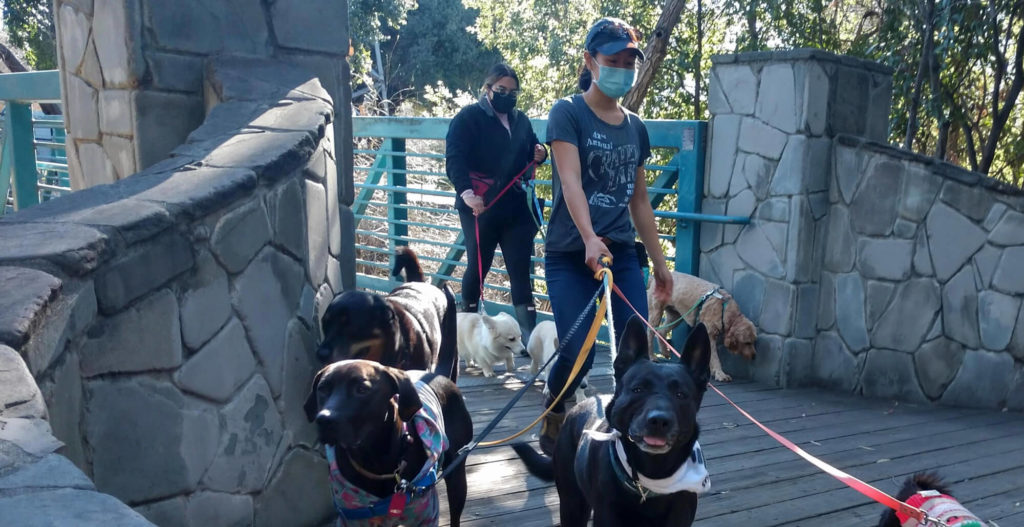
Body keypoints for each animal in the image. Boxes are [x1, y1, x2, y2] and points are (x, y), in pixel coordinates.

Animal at [303, 360, 471, 523]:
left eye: (362, 389)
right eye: (322, 389)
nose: (324, 420)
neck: (373, 459)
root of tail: (438, 375)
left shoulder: (426, 515)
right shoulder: (352, 518)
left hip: (457, 479)